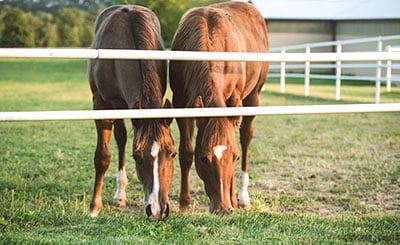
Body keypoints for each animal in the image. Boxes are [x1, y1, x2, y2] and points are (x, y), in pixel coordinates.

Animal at [88, 5, 176, 220]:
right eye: (136, 156)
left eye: (173, 153)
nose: (158, 210)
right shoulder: (101, 104)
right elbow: (102, 156)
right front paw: (94, 207)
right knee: (120, 139)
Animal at [169, 0, 268, 213]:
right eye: (203, 159)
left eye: (235, 158)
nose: (223, 208)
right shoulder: (181, 103)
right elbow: (186, 152)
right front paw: (184, 204)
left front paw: (232, 198)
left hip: (253, 96)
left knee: (245, 137)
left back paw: (242, 196)